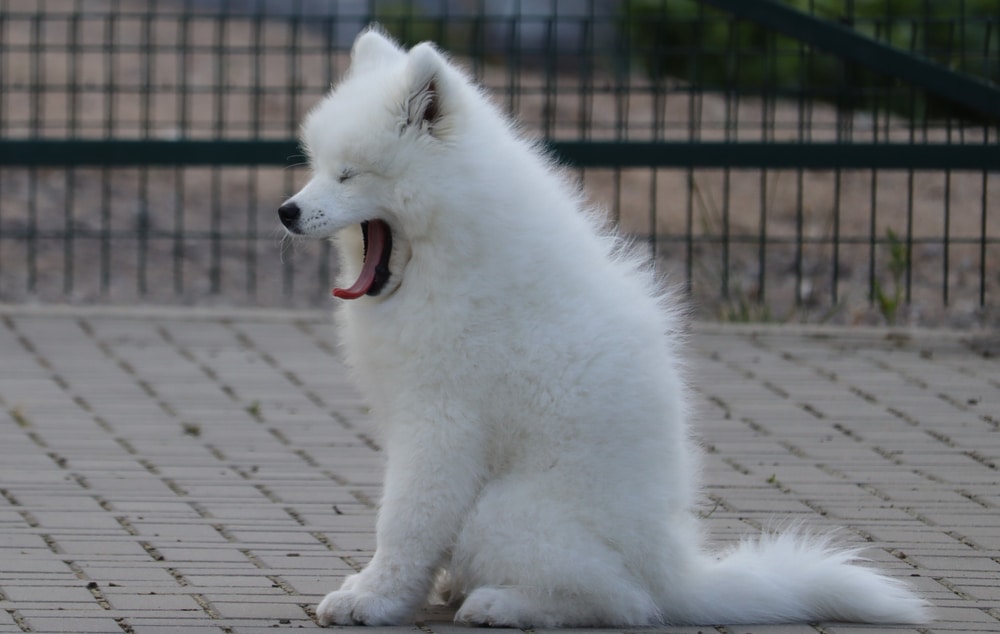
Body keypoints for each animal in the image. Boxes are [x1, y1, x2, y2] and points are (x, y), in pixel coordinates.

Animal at [276, 25, 928, 628]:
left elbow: (406, 520)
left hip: (505, 512)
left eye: (350, 175)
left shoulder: (442, 424)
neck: (451, 248)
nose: (286, 211)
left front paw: (372, 599)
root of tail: (677, 575)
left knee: (620, 602)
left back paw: (501, 604)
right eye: (319, 167)